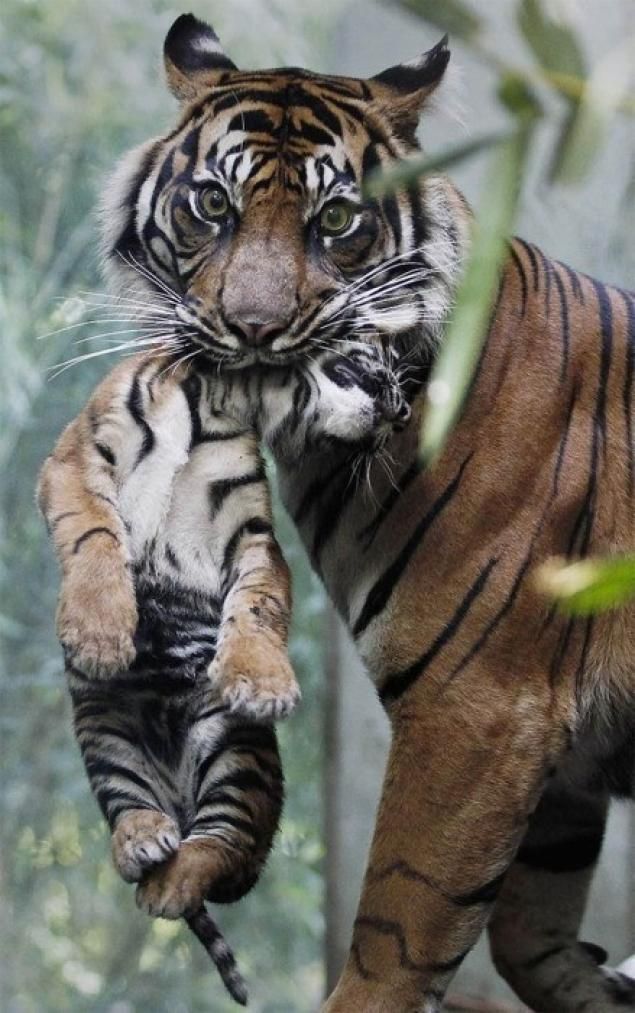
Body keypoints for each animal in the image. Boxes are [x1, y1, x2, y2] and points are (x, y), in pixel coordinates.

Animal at [94, 9, 635, 1013]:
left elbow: (400, 920)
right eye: (212, 206)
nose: (254, 329)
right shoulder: (560, 757)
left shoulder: (476, 710)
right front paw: (597, 983)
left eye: (336, 220)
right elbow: (524, 926)